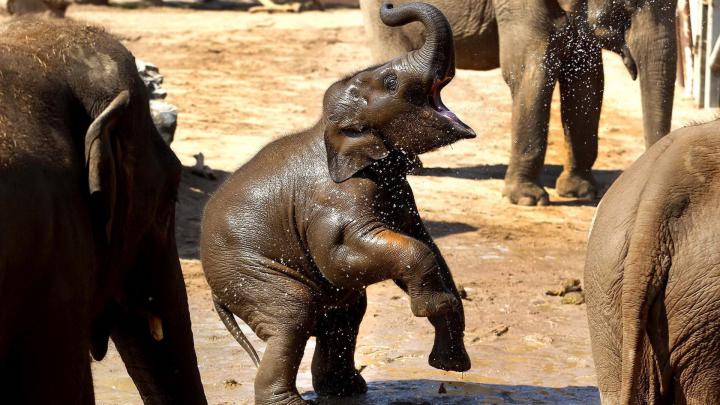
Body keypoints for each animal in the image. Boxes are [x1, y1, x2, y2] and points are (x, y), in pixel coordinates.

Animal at [201, 3, 473, 404]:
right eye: (390, 81)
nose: (389, 7)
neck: (330, 129)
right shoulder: (333, 199)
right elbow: (340, 254)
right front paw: (429, 309)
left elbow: (423, 243)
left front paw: (450, 358)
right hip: (246, 273)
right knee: (294, 315)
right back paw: (293, 401)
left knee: (346, 313)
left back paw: (346, 390)